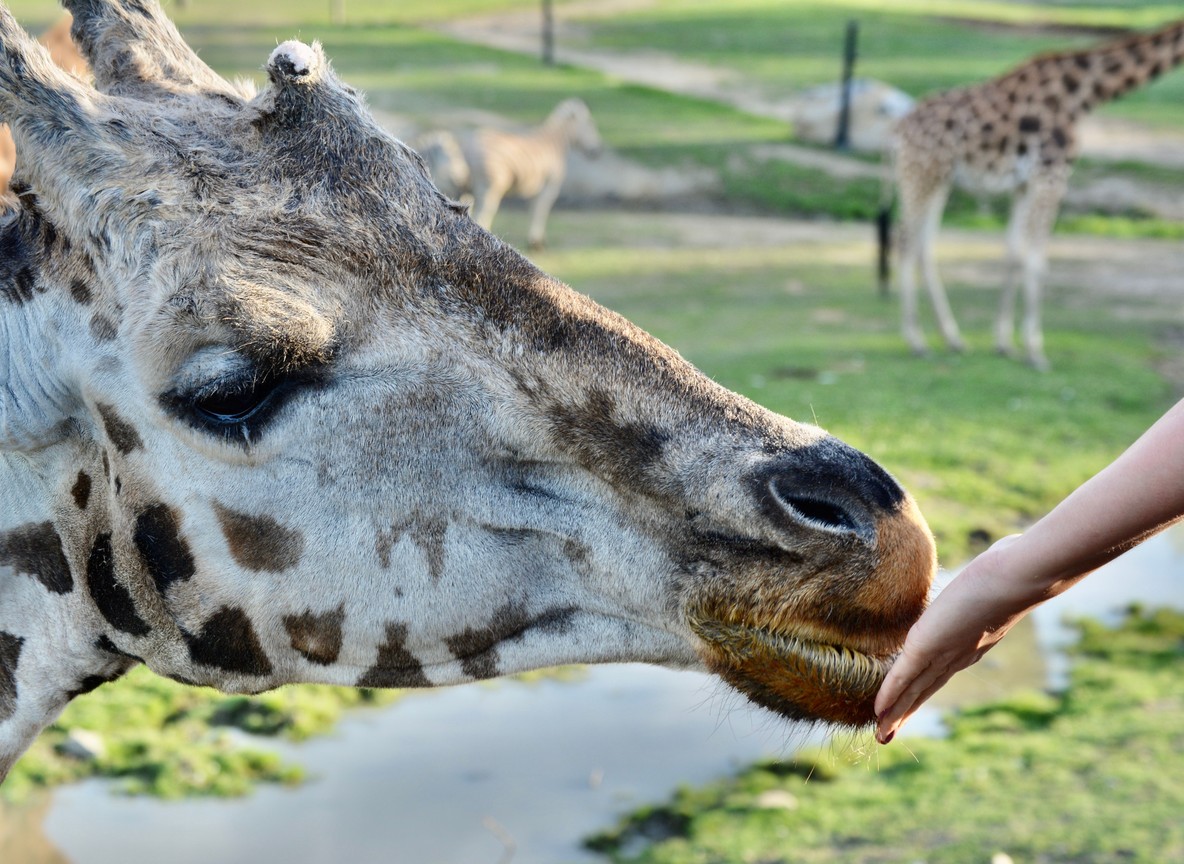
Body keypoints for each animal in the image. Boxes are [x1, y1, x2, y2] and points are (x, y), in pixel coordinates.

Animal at [893, 20, 1184, 370]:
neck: (1082, 95)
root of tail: (900, 127)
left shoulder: (1024, 184)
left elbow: (1014, 254)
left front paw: (1005, 344)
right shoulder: (1051, 175)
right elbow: (1037, 260)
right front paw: (1036, 352)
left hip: (938, 178)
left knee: (924, 246)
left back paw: (953, 339)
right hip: (922, 173)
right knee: (905, 241)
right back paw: (917, 342)